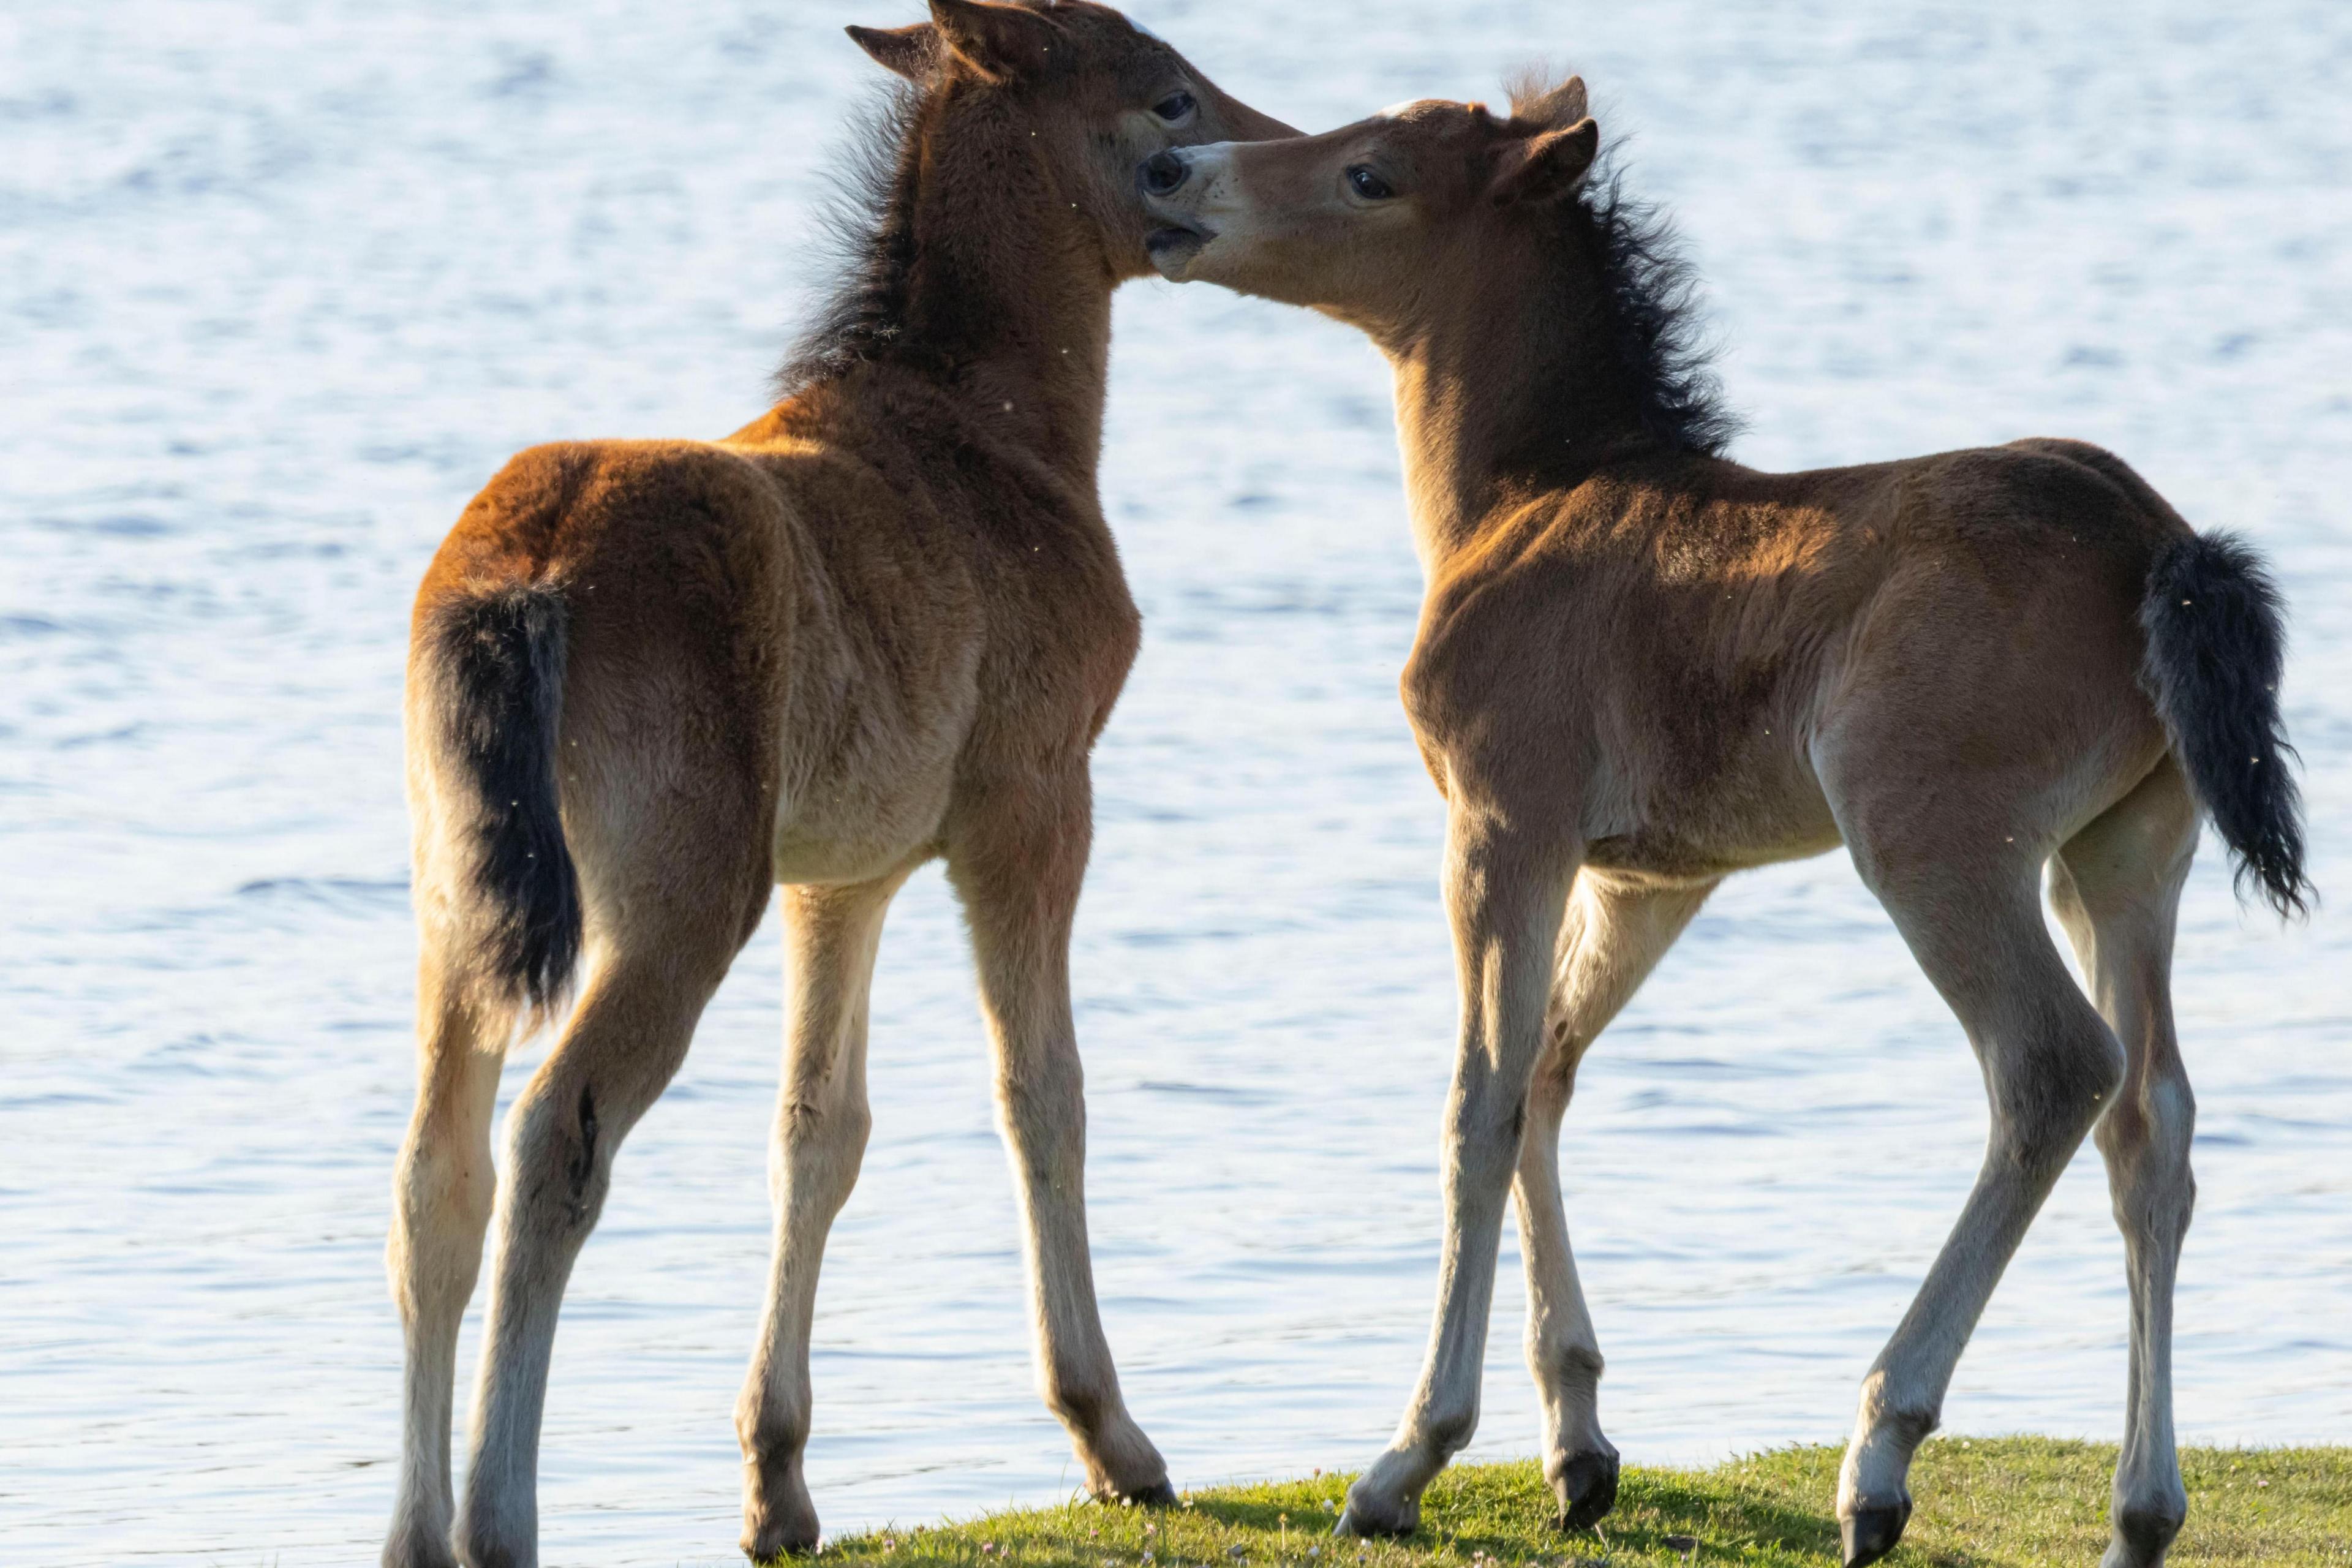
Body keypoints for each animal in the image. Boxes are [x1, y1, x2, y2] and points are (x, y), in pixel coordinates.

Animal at [388, 6, 1298, 1561]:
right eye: (1170, 99)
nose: (1271, 163)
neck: (996, 432)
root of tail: (527, 576)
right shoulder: (1032, 805)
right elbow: (1042, 1091)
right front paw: (1112, 1434)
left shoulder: (847, 868)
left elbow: (818, 1130)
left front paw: (779, 1481)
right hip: (678, 902)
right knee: (553, 1137)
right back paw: (499, 1519)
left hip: (464, 900)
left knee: (434, 1172)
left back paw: (411, 1528)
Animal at [1143, 76, 2314, 1568]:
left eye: (1369, 176)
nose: (1171, 173)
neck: (1527, 495)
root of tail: (2157, 538)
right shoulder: (1653, 877)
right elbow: (1546, 1074)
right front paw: (1578, 1450)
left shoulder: (1504, 823)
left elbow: (1477, 1100)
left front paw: (1408, 1458)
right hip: (2122, 854)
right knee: (2154, 1124)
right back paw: (2139, 1513)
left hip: (1932, 842)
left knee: (2054, 1068)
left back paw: (1878, 1457)